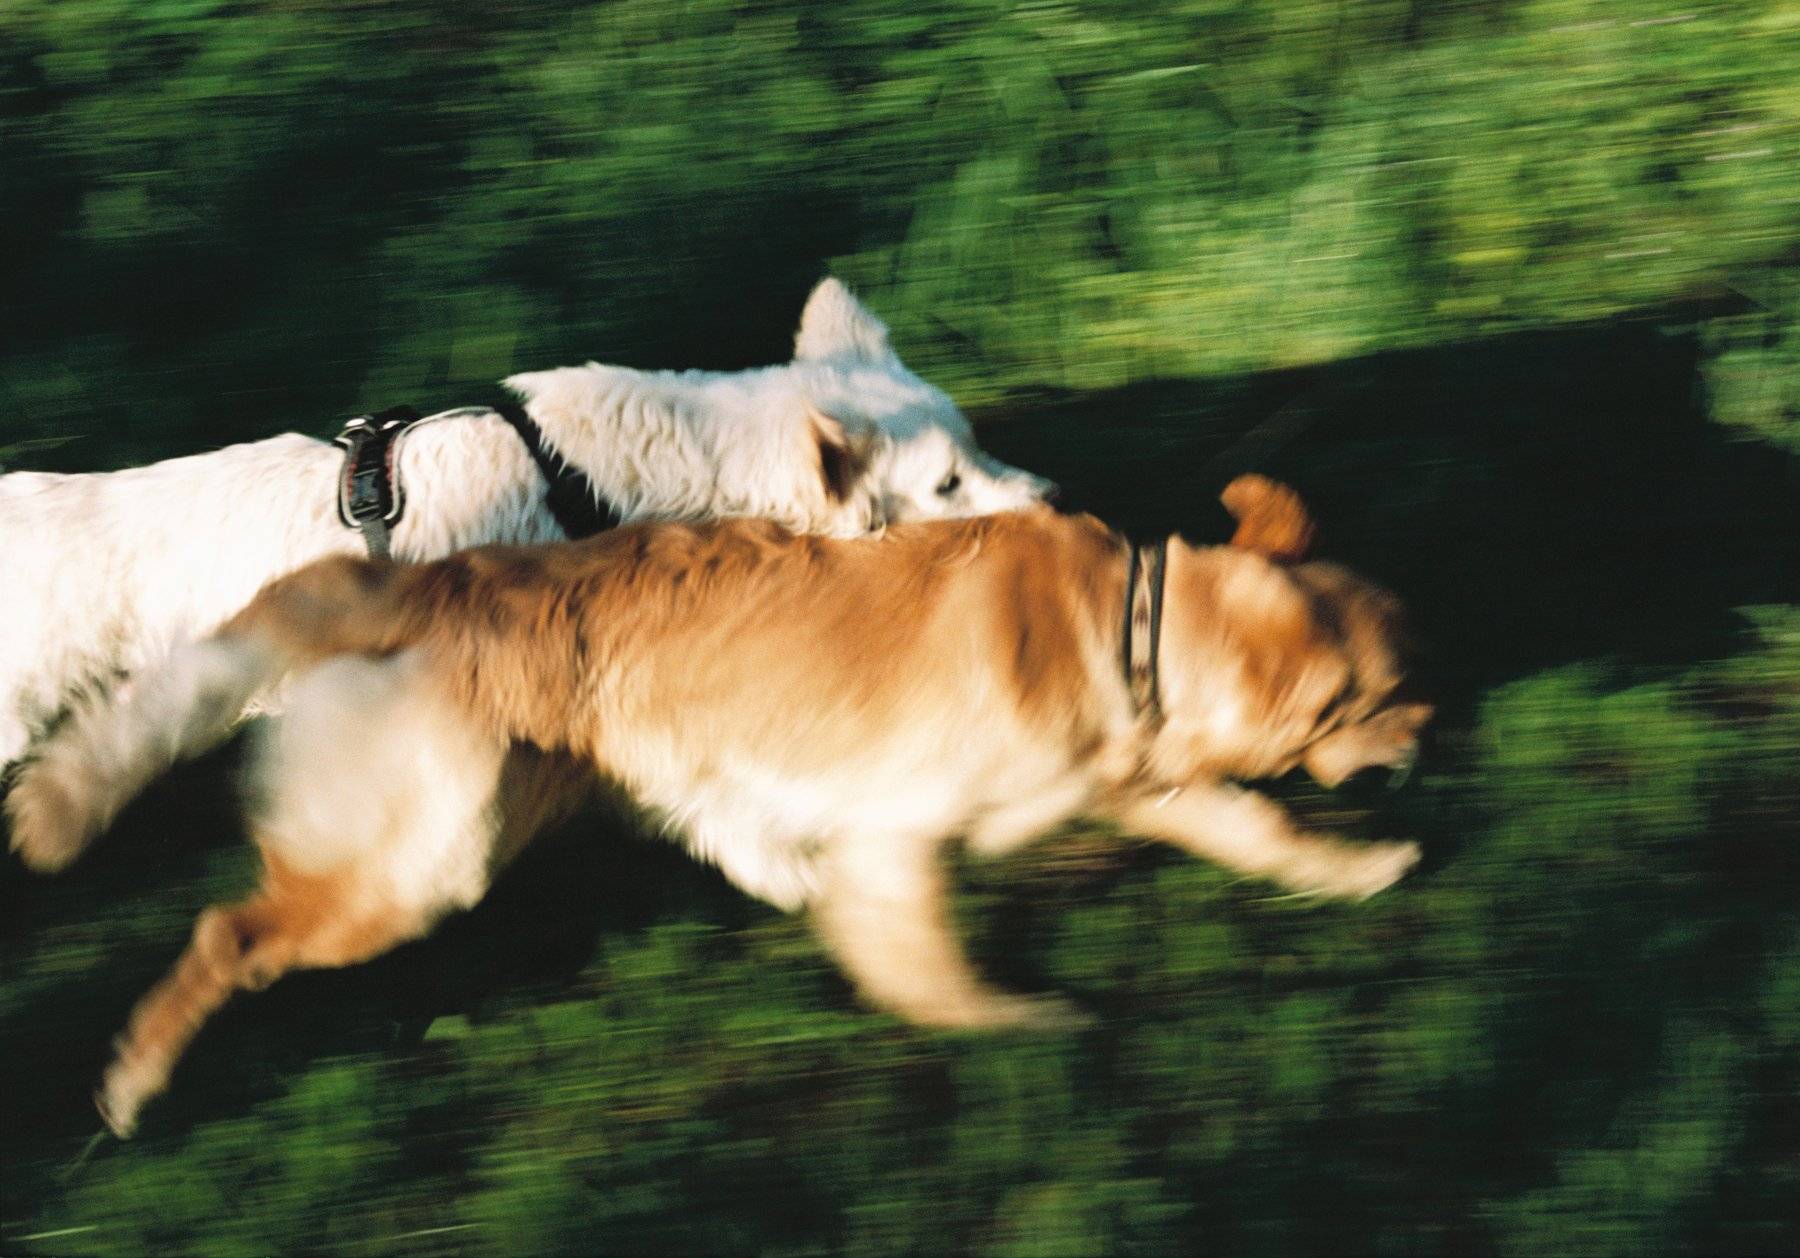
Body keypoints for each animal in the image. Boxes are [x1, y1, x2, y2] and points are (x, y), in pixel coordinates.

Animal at [7, 478, 1425, 1137]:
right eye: (1382, 697)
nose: (1426, 739)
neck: (1124, 620)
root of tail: (423, 580)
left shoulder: (1152, 785)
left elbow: (1259, 830)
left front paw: (1356, 872)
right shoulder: (896, 837)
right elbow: (926, 967)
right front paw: (1019, 1025)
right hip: (420, 863)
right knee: (227, 934)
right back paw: (132, 1081)